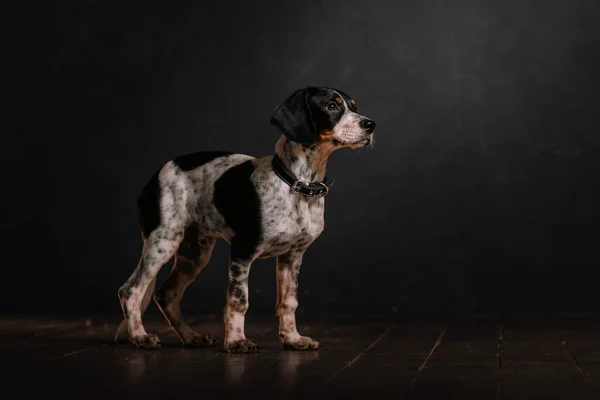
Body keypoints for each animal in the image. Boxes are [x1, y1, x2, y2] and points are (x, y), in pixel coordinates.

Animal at [116, 86, 376, 352]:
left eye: (354, 106)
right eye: (331, 106)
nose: (370, 125)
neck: (297, 185)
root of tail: (154, 176)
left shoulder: (292, 256)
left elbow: (288, 302)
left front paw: (292, 339)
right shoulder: (242, 251)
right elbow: (239, 299)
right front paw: (236, 340)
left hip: (194, 253)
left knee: (166, 294)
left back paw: (190, 336)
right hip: (163, 241)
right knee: (131, 290)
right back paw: (140, 336)